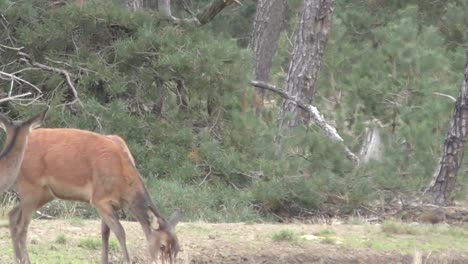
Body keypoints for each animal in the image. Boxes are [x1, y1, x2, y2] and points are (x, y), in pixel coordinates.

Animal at [9, 128, 181, 264]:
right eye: (162, 246)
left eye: (178, 248)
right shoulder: (99, 198)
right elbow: (120, 231)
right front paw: (127, 260)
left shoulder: (112, 204)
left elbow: (105, 233)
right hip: (30, 185)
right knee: (22, 226)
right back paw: (26, 260)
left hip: (45, 193)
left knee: (13, 214)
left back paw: (18, 259)